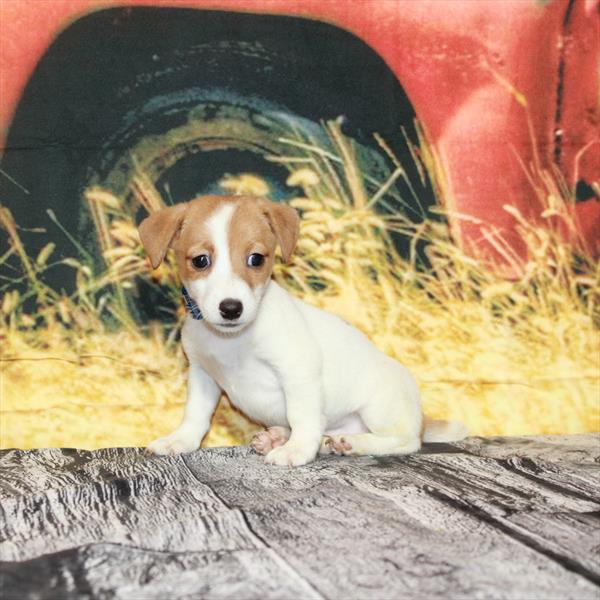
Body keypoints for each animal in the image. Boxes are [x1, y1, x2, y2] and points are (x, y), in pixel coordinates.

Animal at [138, 195, 466, 466]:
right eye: (200, 261)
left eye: (256, 258)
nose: (231, 308)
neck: (233, 341)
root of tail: (420, 416)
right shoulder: (202, 375)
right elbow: (195, 414)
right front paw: (180, 440)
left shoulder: (297, 371)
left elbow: (302, 416)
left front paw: (297, 450)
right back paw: (281, 437)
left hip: (380, 409)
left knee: (406, 441)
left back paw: (352, 443)